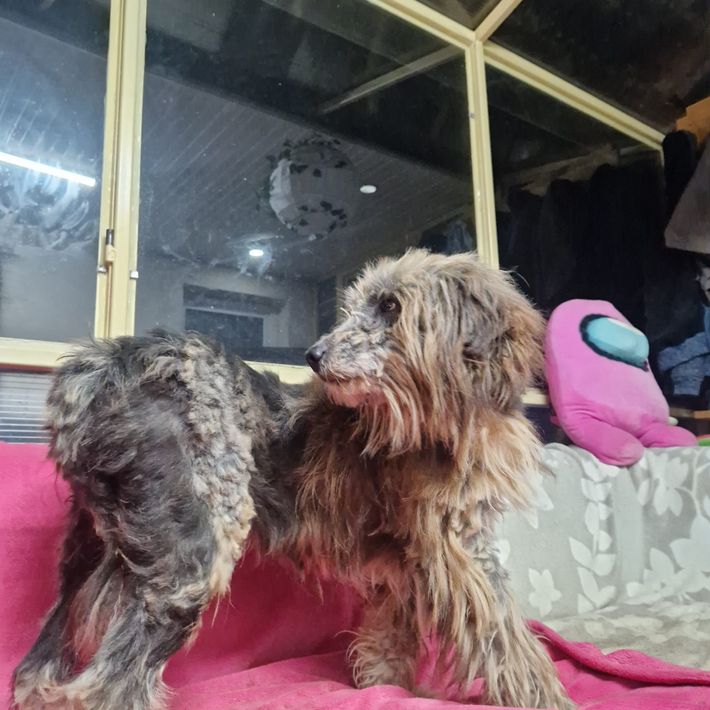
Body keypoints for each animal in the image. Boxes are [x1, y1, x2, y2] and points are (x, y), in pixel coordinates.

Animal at [12, 249, 573, 709]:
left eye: (391, 306)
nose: (313, 355)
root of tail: (101, 367)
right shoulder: (461, 548)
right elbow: (510, 637)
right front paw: (547, 699)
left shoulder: (404, 563)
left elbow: (394, 632)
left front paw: (387, 684)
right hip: (193, 556)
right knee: (106, 687)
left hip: (87, 552)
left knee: (40, 662)